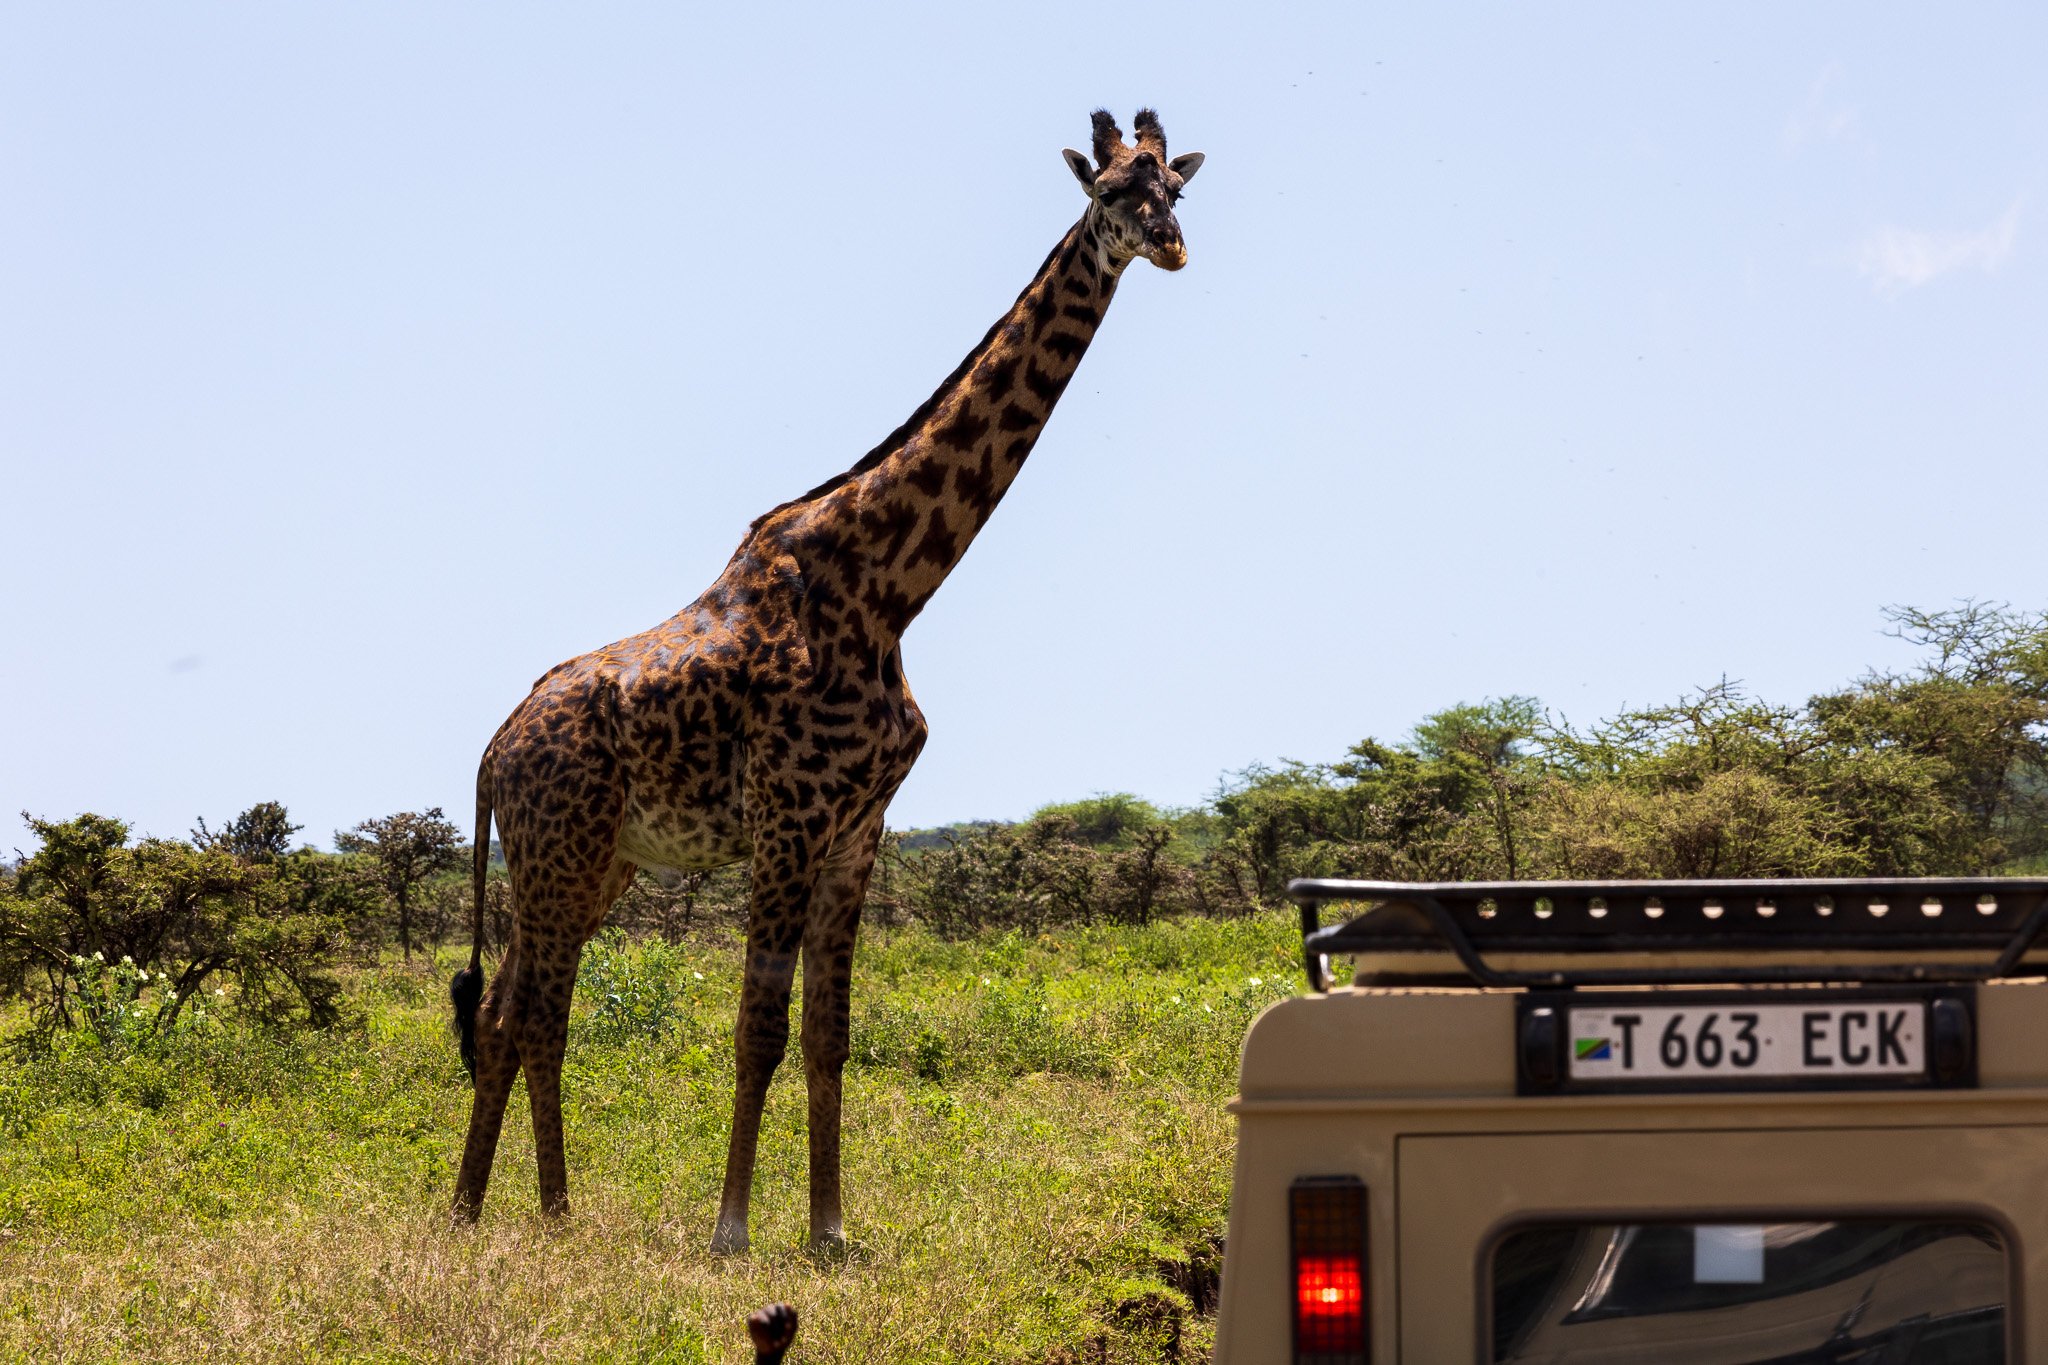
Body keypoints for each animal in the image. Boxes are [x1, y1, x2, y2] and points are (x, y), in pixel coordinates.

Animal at [448, 112, 1196, 1252]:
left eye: (1177, 191)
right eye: (1111, 190)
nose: (1170, 246)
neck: (889, 589)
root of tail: (493, 751)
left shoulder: (858, 832)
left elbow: (827, 1035)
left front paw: (832, 1233)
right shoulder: (788, 820)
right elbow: (756, 1029)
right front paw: (731, 1232)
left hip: (593, 864)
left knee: (506, 1013)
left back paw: (499, 1211)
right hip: (555, 857)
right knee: (531, 1012)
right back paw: (530, 1211)